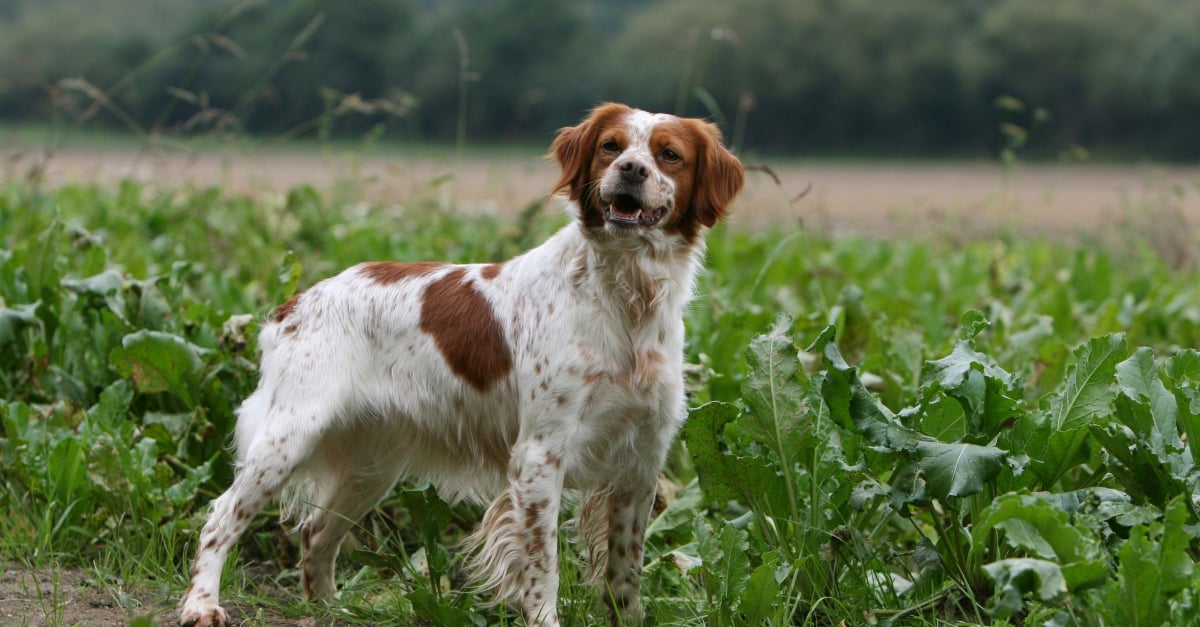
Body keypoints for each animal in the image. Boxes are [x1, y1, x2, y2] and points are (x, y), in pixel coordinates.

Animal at [177, 103, 739, 624]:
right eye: (610, 146)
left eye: (669, 154)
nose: (631, 169)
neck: (626, 298)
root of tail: (293, 303)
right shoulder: (540, 456)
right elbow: (544, 567)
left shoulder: (642, 460)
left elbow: (626, 572)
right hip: (290, 435)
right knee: (220, 517)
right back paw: (202, 604)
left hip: (371, 466)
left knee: (317, 533)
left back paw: (332, 609)